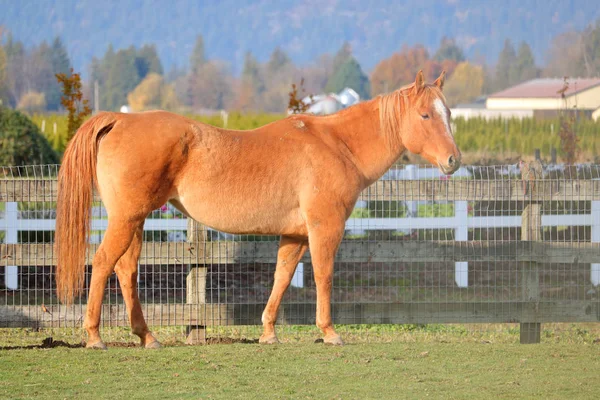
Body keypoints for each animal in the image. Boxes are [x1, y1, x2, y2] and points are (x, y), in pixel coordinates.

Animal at [55, 70, 460, 348]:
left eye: (449, 114)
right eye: (425, 115)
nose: (453, 160)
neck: (336, 144)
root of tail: (120, 118)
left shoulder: (295, 234)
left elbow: (282, 276)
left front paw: (268, 331)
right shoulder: (324, 227)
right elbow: (324, 275)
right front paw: (329, 331)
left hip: (135, 220)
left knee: (125, 270)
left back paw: (146, 336)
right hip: (126, 219)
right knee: (103, 263)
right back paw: (94, 336)